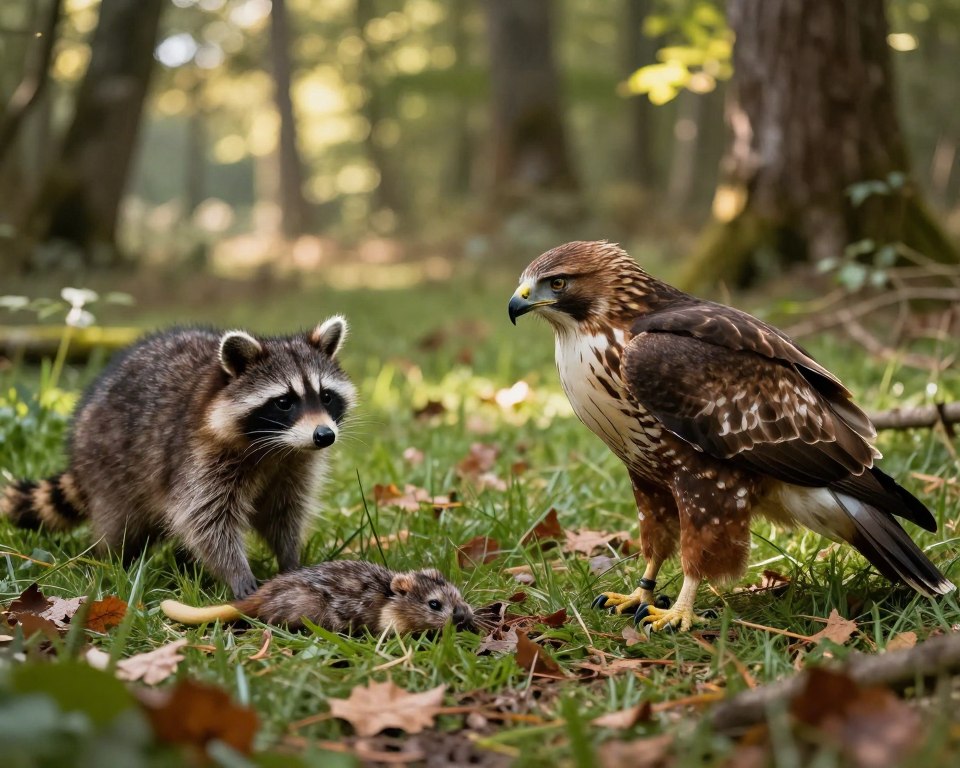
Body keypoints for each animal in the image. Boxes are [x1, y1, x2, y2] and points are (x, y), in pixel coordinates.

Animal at [1, 317, 355, 598]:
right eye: (284, 402)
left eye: (326, 396)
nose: (324, 435)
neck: (278, 448)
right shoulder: (197, 457)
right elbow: (205, 519)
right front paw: (237, 573)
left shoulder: (293, 467)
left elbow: (284, 513)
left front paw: (290, 561)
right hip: (108, 469)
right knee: (120, 526)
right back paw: (113, 563)